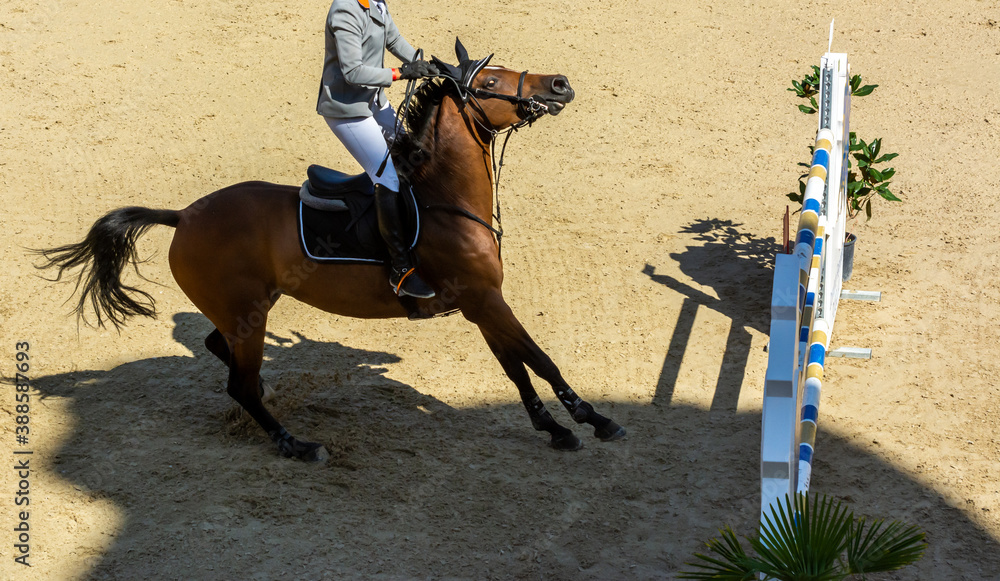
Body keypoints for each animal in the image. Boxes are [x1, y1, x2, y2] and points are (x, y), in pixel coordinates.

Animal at [38, 43, 625, 461]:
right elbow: (537, 360)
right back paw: (297, 445)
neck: (444, 197)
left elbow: (518, 367)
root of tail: (185, 215)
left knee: (220, 351)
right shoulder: (485, 300)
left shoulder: (480, 305)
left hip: (248, 309)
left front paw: (561, 426)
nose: (559, 83)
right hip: (248, 316)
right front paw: (587, 421)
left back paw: (270, 392)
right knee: (238, 385)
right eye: (489, 81)